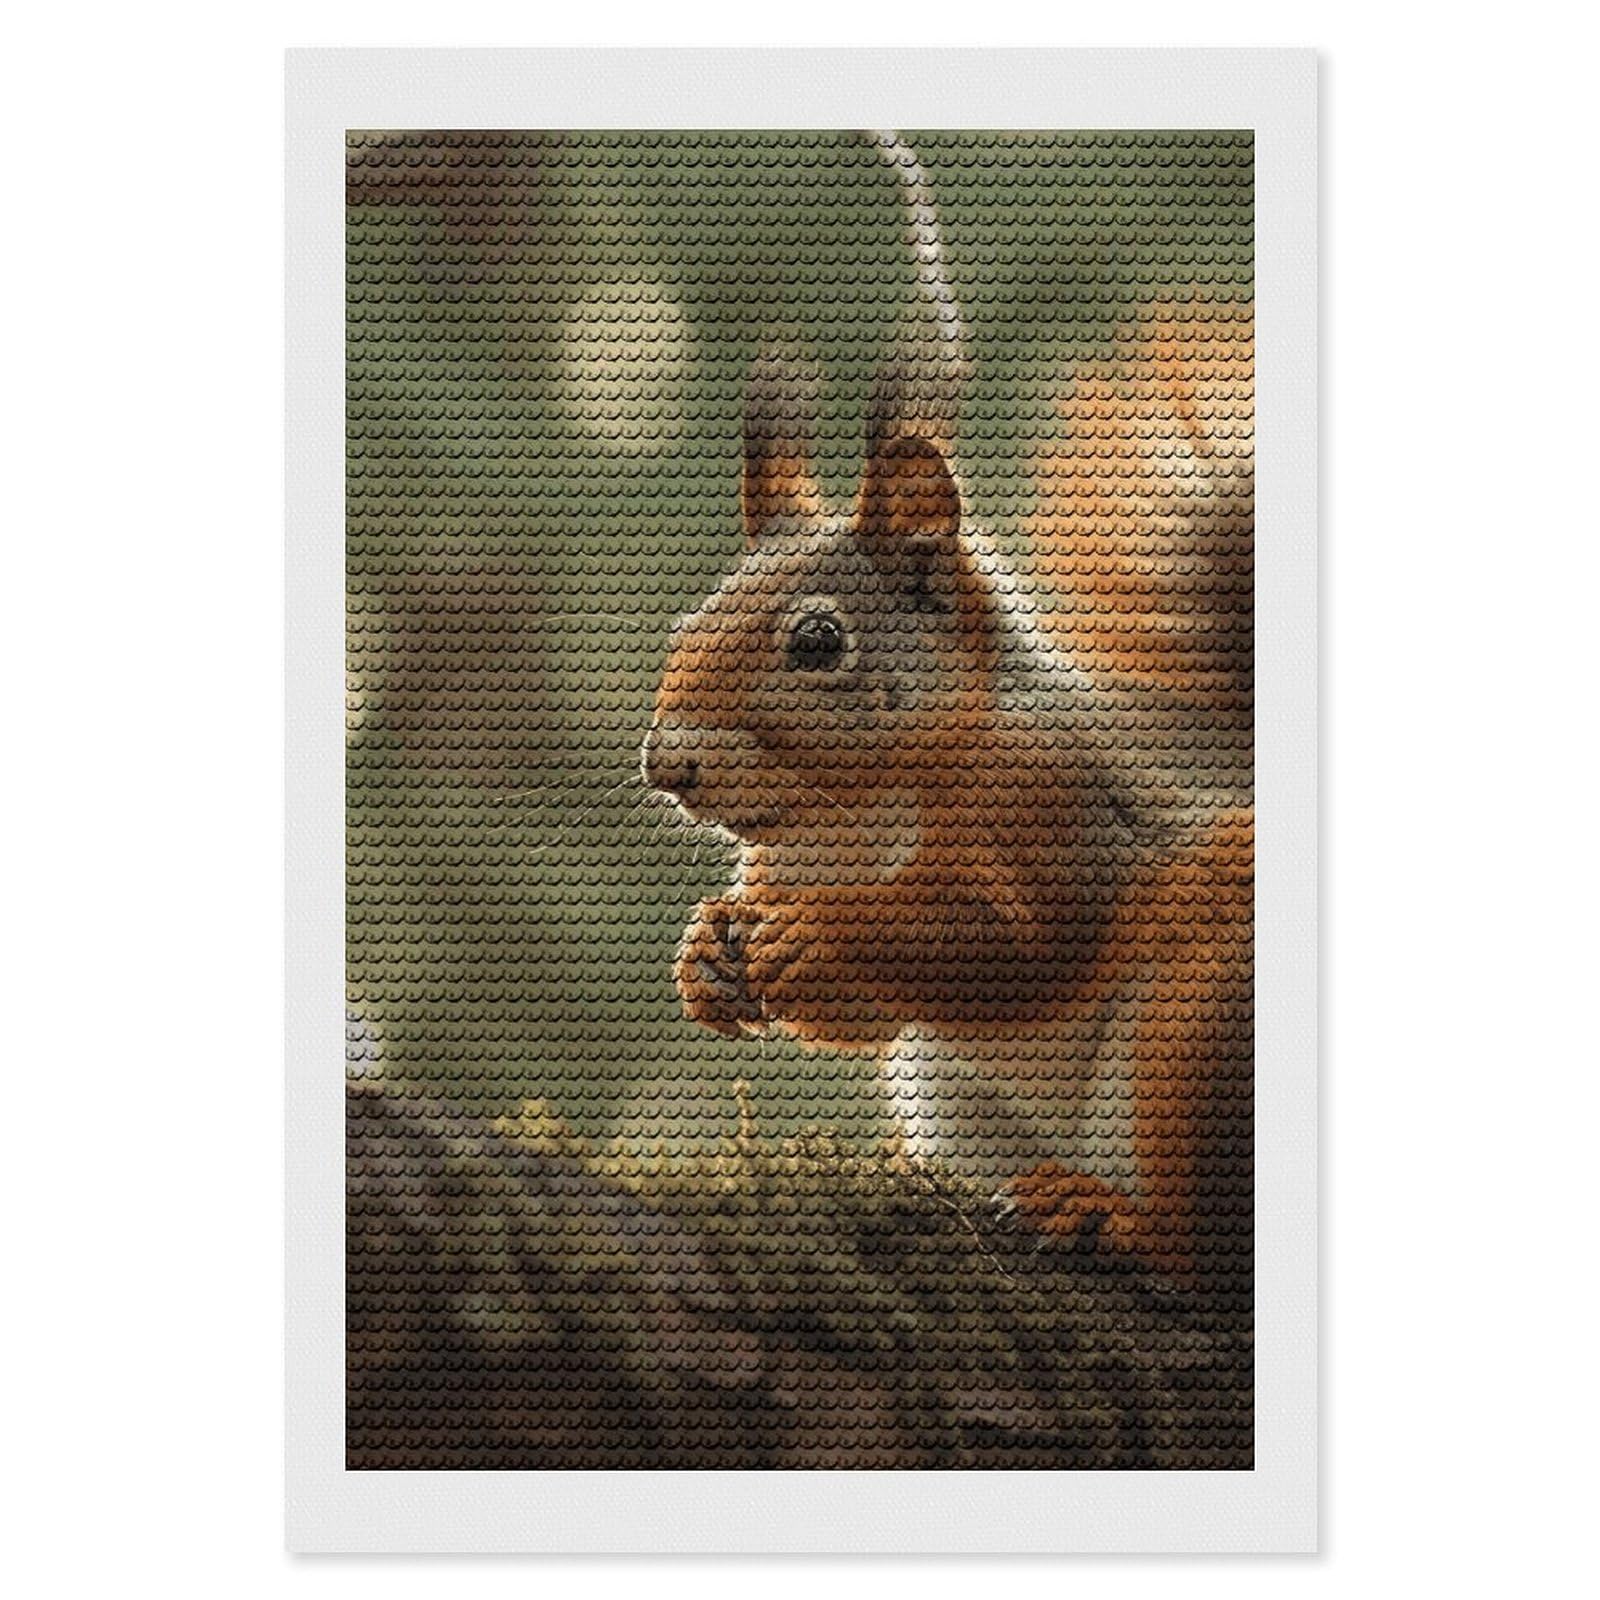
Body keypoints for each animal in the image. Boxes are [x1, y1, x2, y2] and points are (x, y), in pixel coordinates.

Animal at [641, 133, 1252, 1297]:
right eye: (685, 622)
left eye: (817, 642)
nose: (666, 764)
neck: (857, 812)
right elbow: (865, 1003)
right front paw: (703, 955)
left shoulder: (1050, 801)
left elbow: (1014, 934)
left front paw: (821, 931)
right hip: (950, 1090)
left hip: (1202, 1025)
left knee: (1211, 1249)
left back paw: (1120, 1219)